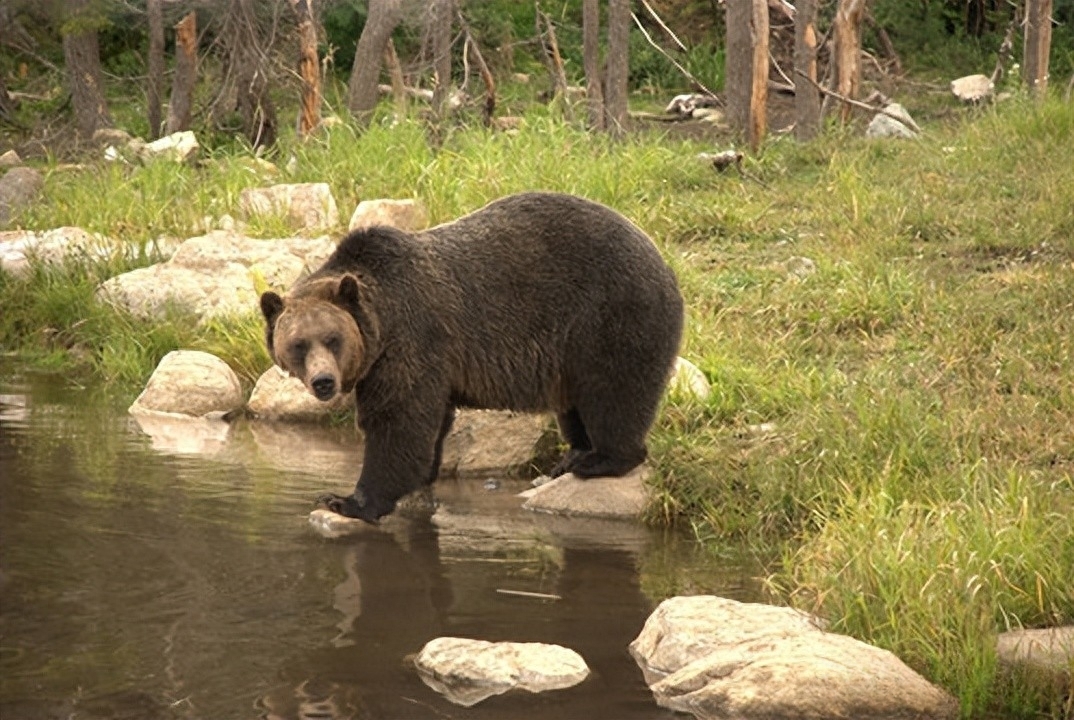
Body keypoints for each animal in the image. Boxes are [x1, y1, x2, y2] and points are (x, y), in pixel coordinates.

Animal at [259, 191, 683, 522]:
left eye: (332, 339)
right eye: (298, 344)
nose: (323, 382)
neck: (381, 323)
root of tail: (663, 262)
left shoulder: (412, 341)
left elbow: (398, 421)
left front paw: (346, 500)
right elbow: (430, 422)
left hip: (609, 316)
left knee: (614, 393)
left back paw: (600, 459)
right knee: (576, 403)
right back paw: (572, 456)